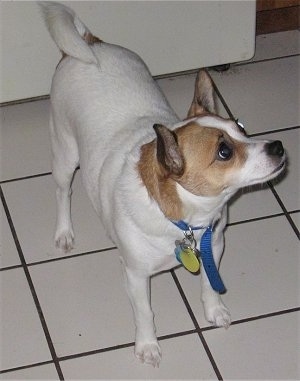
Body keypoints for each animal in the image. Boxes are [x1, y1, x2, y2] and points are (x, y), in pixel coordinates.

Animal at [39, 1, 286, 366]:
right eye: (224, 152)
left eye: (240, 126)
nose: (279, 146)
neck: (185, 222)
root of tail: (89, 45)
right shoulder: (136, 276)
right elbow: (144, 314)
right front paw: (147, 345)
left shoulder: (215, 245)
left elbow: (210, 284)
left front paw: (214, 311)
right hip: (65, 153)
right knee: (62, 191)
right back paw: (64, 231)